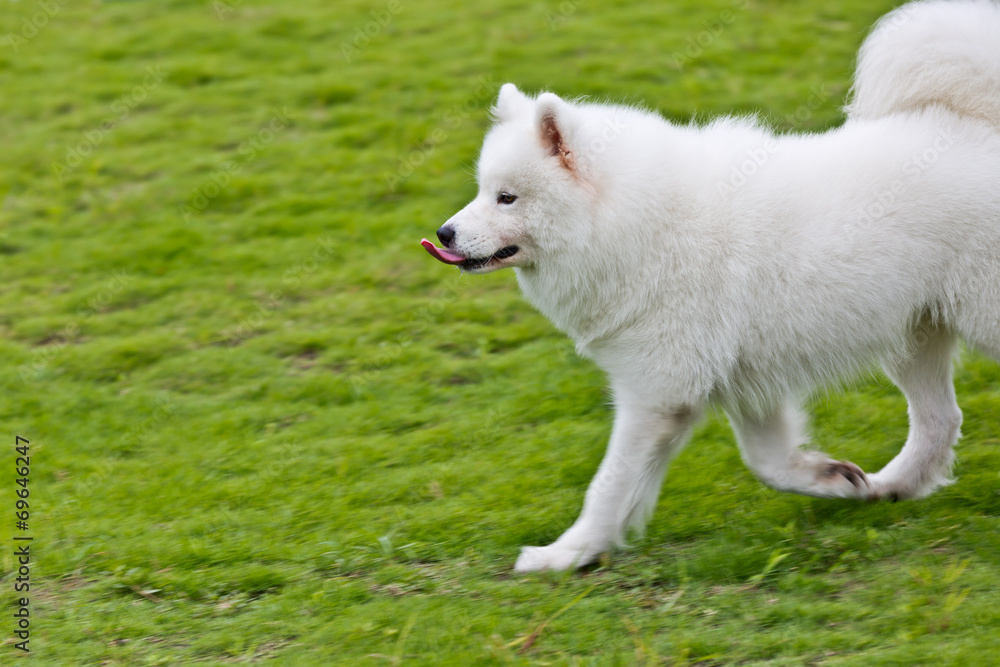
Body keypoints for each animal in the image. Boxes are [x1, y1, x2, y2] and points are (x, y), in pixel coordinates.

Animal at [420, 0, 1000, 576]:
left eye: (507, 198)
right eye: (483, 191)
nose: (444, 234)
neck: (639, 223)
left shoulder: (654, 394)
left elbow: (609, 484)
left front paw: (568, 553)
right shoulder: (744, 384)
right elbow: (768, 463)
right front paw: (833, 479)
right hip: (914, 337)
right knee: (940, 419)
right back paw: (892, 486)